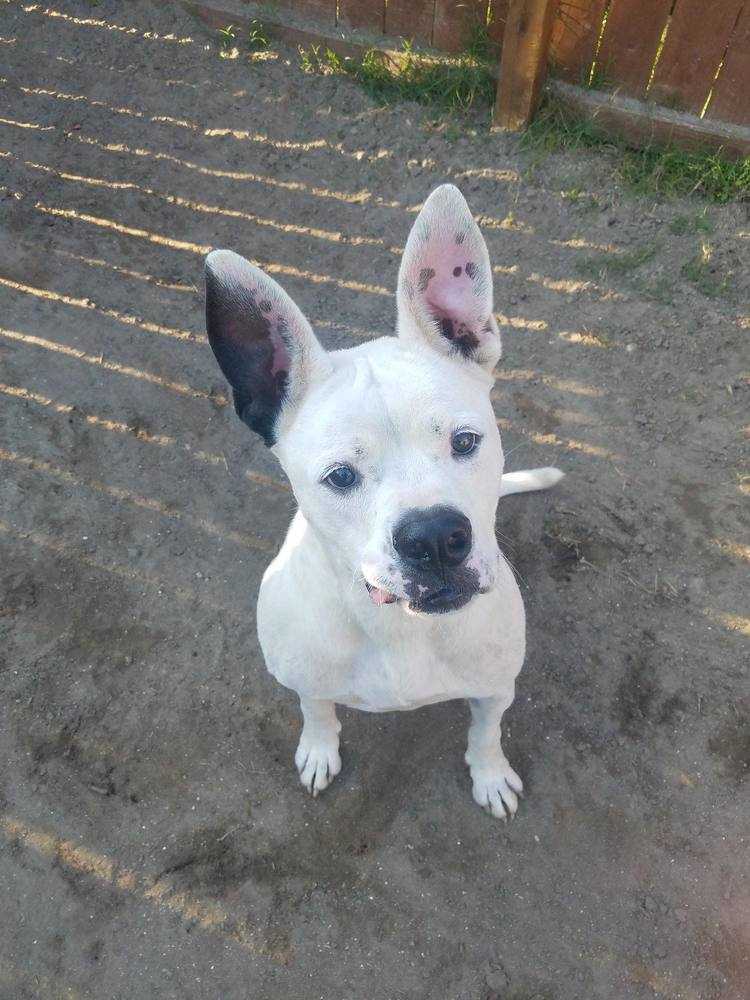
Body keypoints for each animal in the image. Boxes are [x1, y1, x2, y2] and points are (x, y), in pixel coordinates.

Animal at [209, 184, 560, 816]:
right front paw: (319, 749)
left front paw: (490, 775)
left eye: (465, 442)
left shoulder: (496, 686)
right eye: (340, 476)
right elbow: (316, 709)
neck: (399, 629)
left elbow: (486, 731)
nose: (436, 538)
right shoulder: (306, 677)